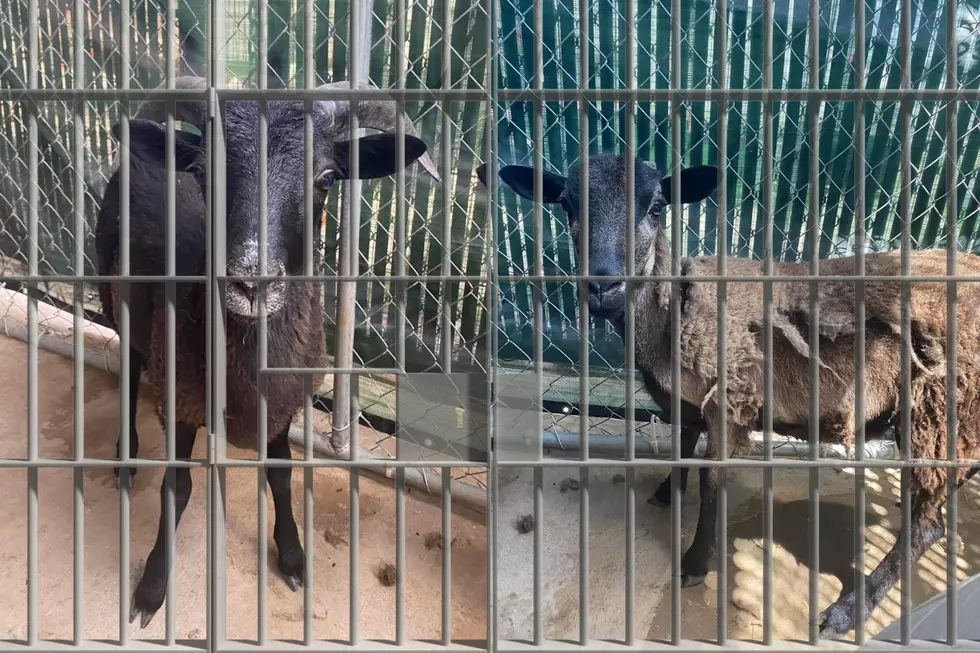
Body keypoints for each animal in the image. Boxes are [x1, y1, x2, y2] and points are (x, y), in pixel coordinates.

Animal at [486, 154, 980, 636]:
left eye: (657, 207)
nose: (604, 285)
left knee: (928, 528)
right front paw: (668, 491)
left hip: (938, 407)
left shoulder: (727, 403)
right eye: (566, 204)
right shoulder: (685, 404)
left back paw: (848, 611)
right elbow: (681, 448)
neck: (673, 311)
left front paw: (693, 564)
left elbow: (711, 484)